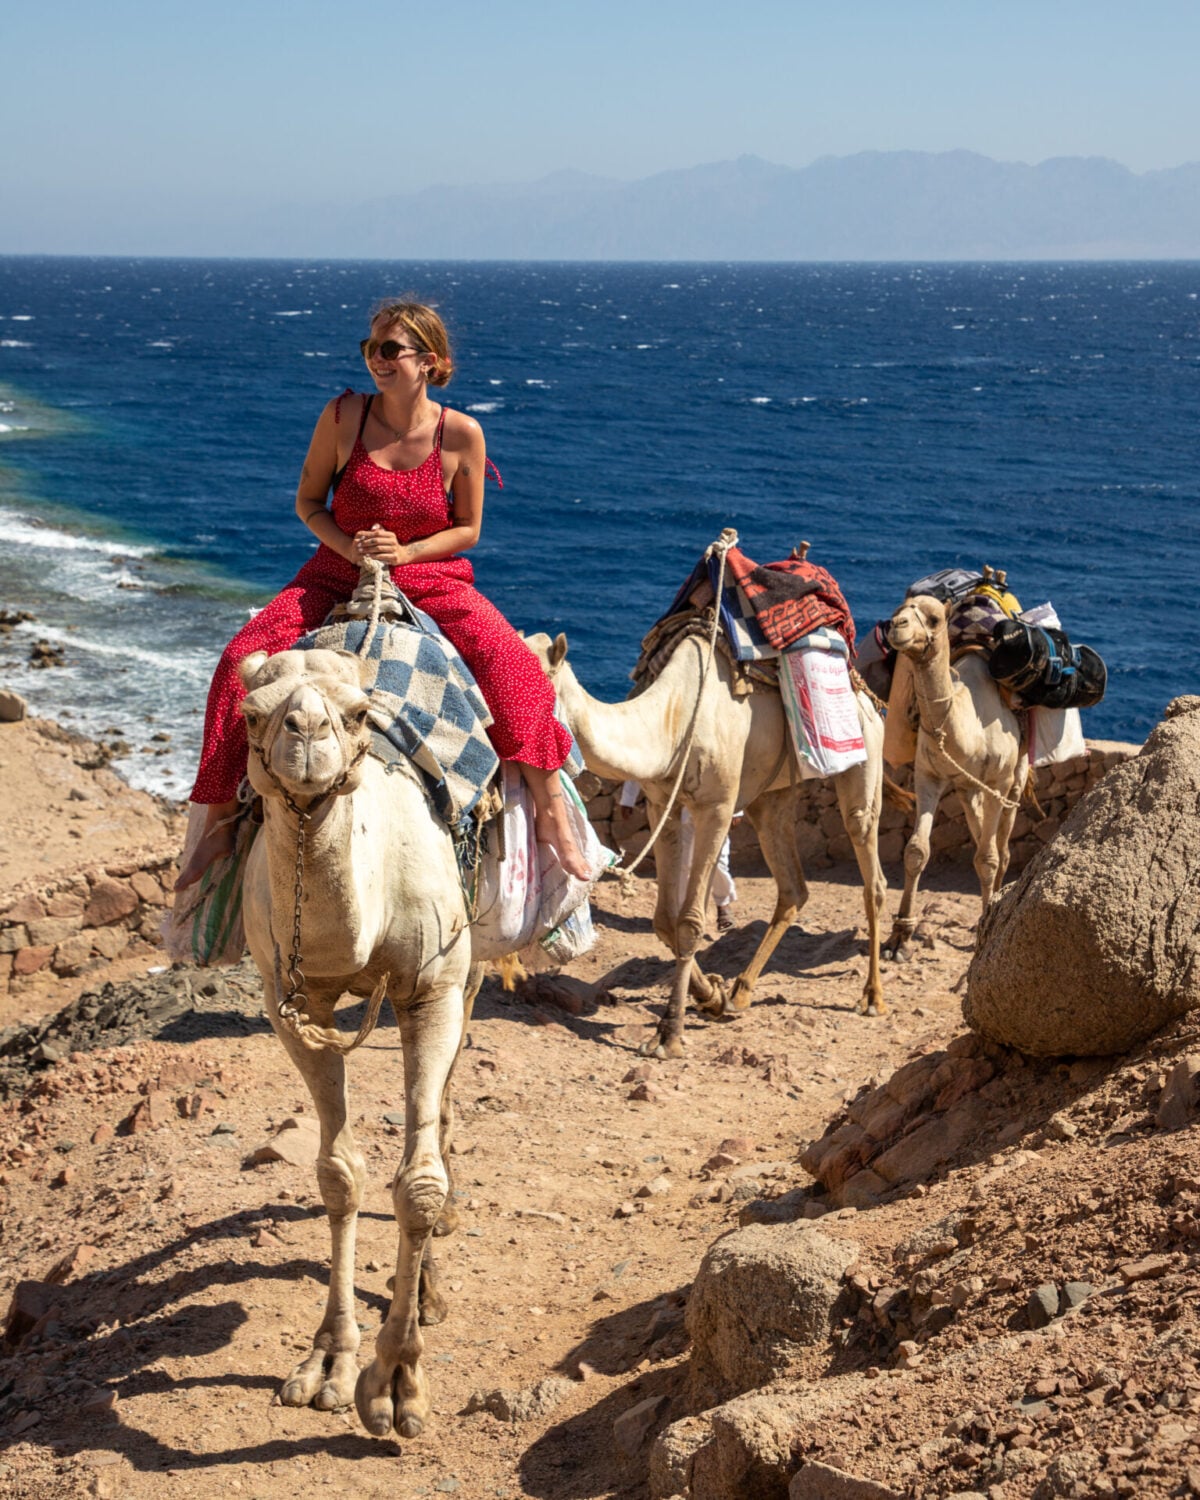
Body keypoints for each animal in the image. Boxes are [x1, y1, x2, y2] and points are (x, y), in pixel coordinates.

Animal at [237, 643, 480, 1441]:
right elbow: (339, 1174)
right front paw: (331, 1364)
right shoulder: (290, 1003)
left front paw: (399, 1383)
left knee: (444, 1106)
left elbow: (420, 1185)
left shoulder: (431, 988)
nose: (307, 730)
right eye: (252, 713)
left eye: (356, 714)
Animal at [528, 630, 887, 1057]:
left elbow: (689, 921)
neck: (674, 720)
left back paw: (873, 996)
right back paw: (739, 994)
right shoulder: (661, 804)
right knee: (792, 886)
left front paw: (669, 1033)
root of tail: (869, 696)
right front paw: (711, 997)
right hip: (773, 794)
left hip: (863, 751)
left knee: (869, 866)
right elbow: (664, 921)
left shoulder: (717, 806)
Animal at [885, 594, 1026, 951]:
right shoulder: (928, 776)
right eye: (899, 611)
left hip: (1016, 776)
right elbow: (916, 850)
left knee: (1001, 846)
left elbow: (989, 857)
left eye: (934, 619)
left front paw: (986, 925)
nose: (896, 626)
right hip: (966, 786)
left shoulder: (998, 781)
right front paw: (900, 935)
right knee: (979, 829)